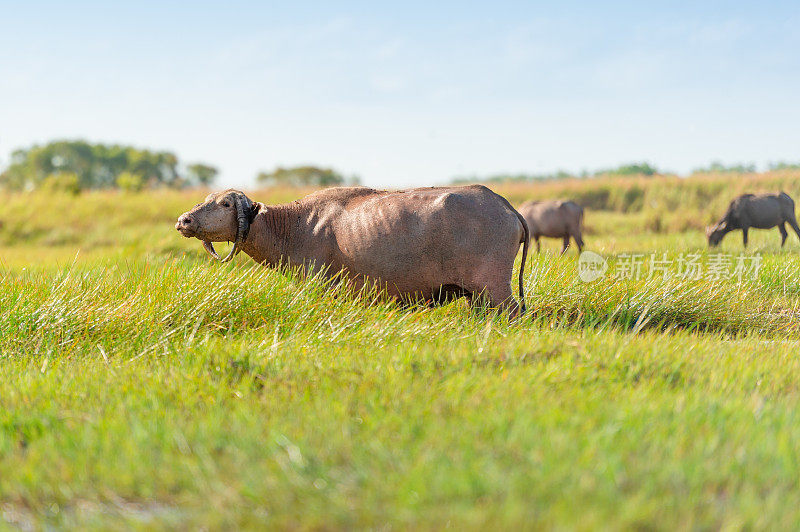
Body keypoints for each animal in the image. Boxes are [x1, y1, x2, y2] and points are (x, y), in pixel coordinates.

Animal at [175, 185, 532, 314]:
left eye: (225, 204)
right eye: (206, 200)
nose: (184, 219)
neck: (292, 225)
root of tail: (505, 205)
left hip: (494, 287)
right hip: (478, 296)